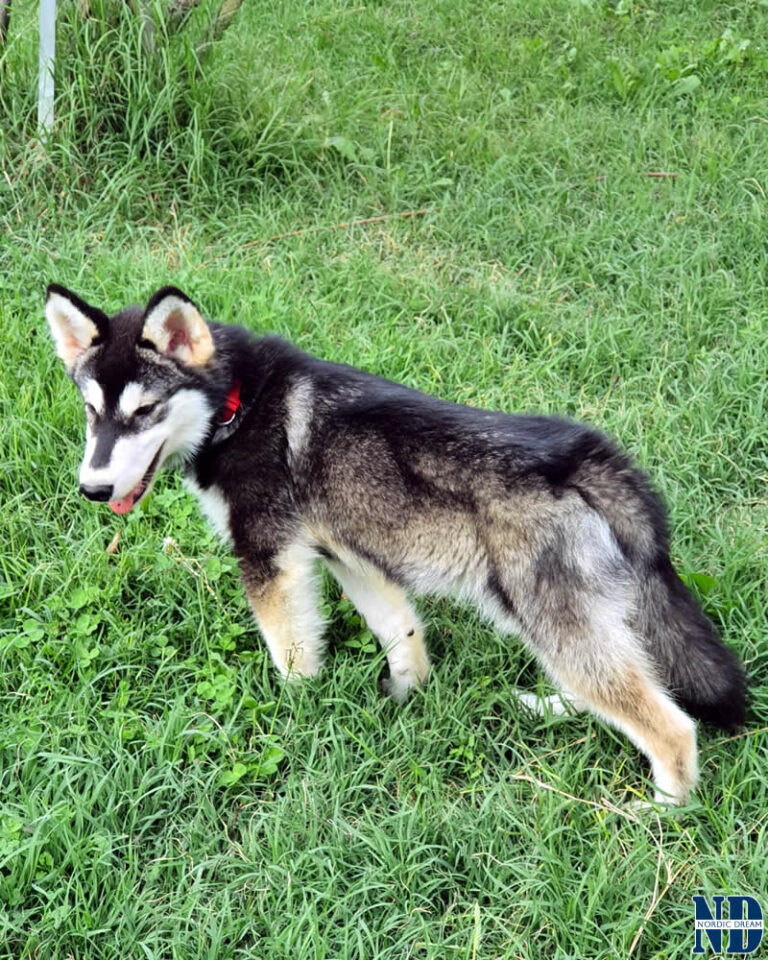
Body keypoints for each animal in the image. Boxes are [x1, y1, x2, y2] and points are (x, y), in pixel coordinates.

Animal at [45, 284, 748, 804]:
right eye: (91, 412)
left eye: (144, 413)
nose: (93, 488)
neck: (238, 404)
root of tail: (580, 457)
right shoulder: (351, 556)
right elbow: (399, 632)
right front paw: (408, 694)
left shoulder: (271, 557)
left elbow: (292, 654)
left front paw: (295, 713)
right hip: (550, 610)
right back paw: (555, 707)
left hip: (543, 608)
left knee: (668, 723)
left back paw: (663, 807)